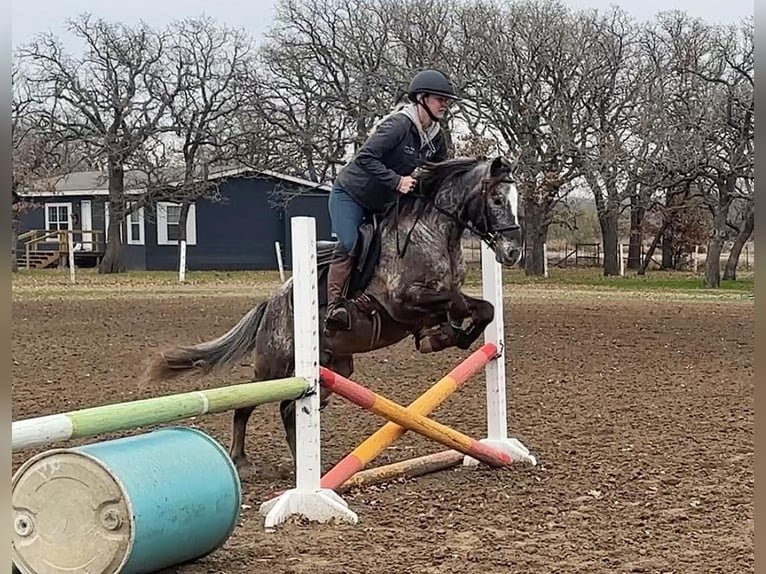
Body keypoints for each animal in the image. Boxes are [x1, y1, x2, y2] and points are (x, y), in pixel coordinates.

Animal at [141, 154, 524, 476]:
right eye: (497, 199)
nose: (513, 252)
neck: (434, 232)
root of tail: (270, 305)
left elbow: (484, 308)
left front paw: (448, 335)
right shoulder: (404, 300)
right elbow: (455, 301)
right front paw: (443, 334)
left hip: (333, 369)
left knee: (289, 410)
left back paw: (305, 466)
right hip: (275, 365)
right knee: (248, 403)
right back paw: (242, 460)